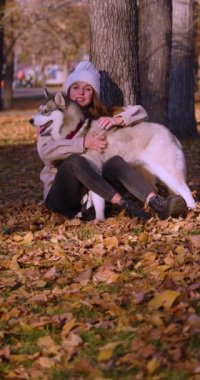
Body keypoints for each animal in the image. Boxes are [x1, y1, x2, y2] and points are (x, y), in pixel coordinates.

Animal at [29, 89, 195, 220]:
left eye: (45, 111)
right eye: (39, 110)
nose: (30, 120)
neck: (76, 131)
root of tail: (170, 134)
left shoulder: (93, 169)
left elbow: (98, 198)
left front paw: (99, 220)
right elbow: (93, 197)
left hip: (167, 171)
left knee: (185, 191)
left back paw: (191, 210)